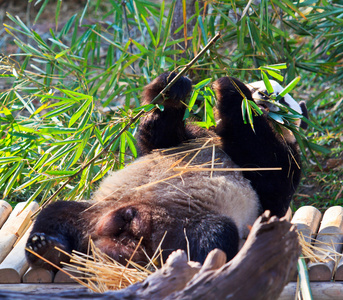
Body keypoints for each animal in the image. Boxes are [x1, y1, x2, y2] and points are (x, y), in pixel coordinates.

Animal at [25, 72, 308, 270]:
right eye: (257, 84)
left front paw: (232, 91)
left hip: (181, 227)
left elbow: (267, 165)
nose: (264, 95)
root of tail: (129, 231)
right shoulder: (189, 137)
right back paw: (47, 248)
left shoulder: (285, 161)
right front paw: (174, 86)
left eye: (283, 96)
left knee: (212, 236)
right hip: (95, 212)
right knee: (57, 212)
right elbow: (157, 137)